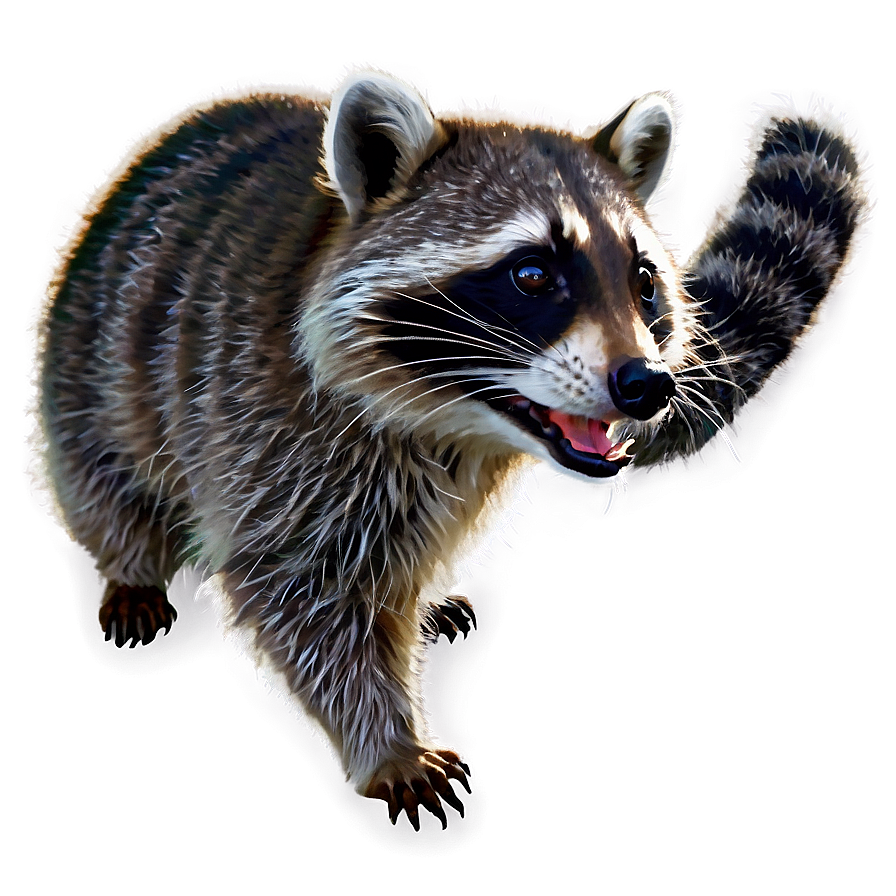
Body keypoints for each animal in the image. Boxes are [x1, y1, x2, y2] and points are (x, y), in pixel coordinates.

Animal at [30, 68, 867, 829]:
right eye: (532, 274)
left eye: (643, 281)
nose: (646, 385)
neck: (455, 422)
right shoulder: (262, 426)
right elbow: (299, 595)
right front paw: (387, 744)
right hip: (97, 357)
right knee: (102, 469)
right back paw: (128, 560)